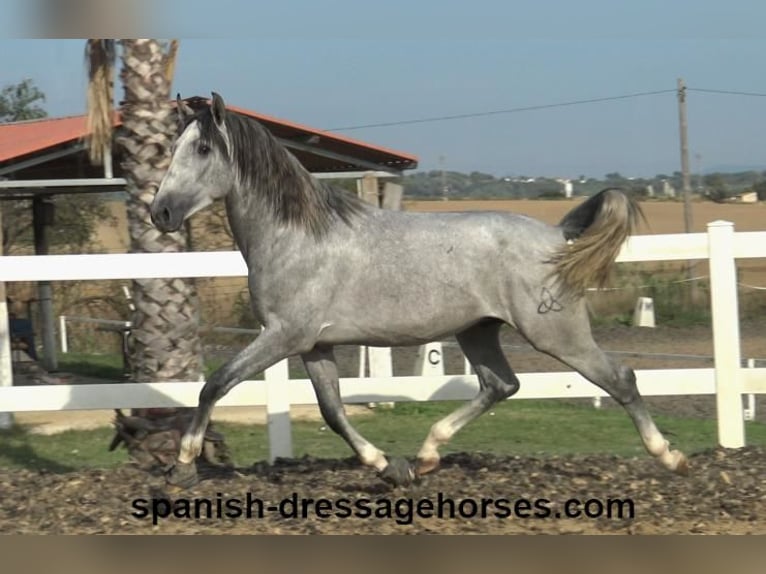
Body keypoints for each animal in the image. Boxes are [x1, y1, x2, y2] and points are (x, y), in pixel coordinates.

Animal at [150, 94, 688, 490]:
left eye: (202, 149)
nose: (161, 213)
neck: (297, 237)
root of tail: (558, 237)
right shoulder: (314, 344)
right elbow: (332, 412)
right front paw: (391, 467)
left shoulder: (283, 335)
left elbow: (215, 384)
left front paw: (182, 468)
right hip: (479, 330)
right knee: (501, 385)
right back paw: (427, 455)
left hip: (555, 333)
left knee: (620, 378)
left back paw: (670, 457)